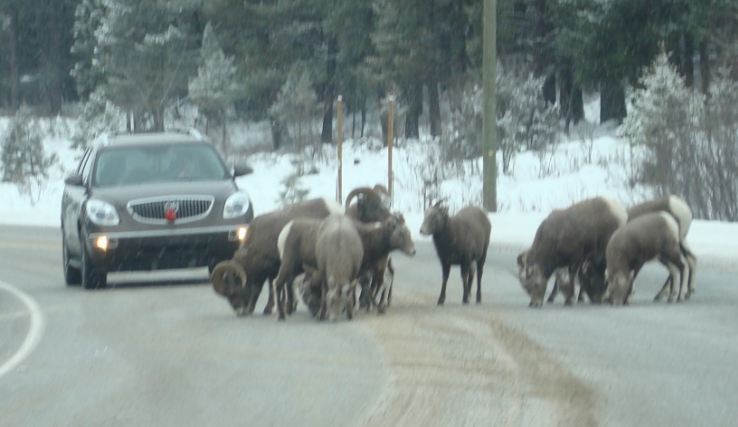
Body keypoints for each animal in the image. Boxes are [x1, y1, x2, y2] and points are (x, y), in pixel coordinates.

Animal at [210, 199, 342, 316]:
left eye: (232, 292)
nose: (239, 312)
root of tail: (335, 209)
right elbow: (284, 285)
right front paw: (288, 307)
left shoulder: (271, 269)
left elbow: (266, 288)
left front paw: (268, 309)